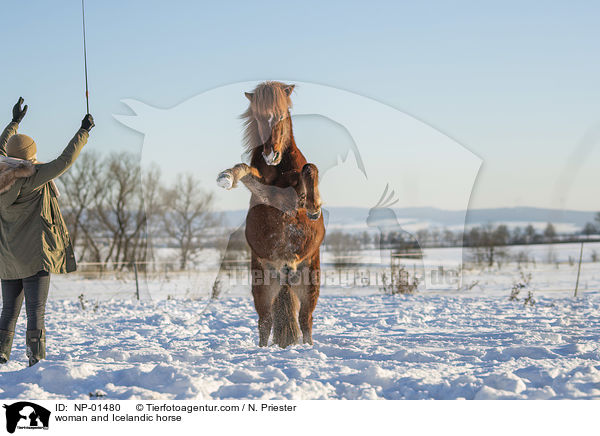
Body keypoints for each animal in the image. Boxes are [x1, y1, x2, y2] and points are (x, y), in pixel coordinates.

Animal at [218, 81, 326, 348]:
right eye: (258, 117)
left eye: (281, 116)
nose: (271, 155)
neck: (279, 172)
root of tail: (285, 273)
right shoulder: (267, 194)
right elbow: (244, 170)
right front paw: (226, 177)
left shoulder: (293, 193)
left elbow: (310, 168)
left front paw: (313, 207)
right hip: (263, 287)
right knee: (265, 322)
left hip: (310, 283)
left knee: (306, 320)